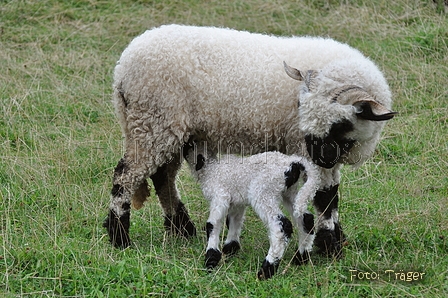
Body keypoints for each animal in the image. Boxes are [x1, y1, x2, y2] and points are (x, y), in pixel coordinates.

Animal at [104, 23, 396, 258]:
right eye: (301, 108)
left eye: (341, 123)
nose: (318, 155)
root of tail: (122, 68)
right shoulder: (303, 146)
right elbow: (324, 196)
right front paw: (329, 246)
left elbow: (331, 193)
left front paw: (336, 239)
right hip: (153, 121)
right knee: (126, 175)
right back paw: (120, 237)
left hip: (170, 129)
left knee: (163, 176)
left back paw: (181, 229)